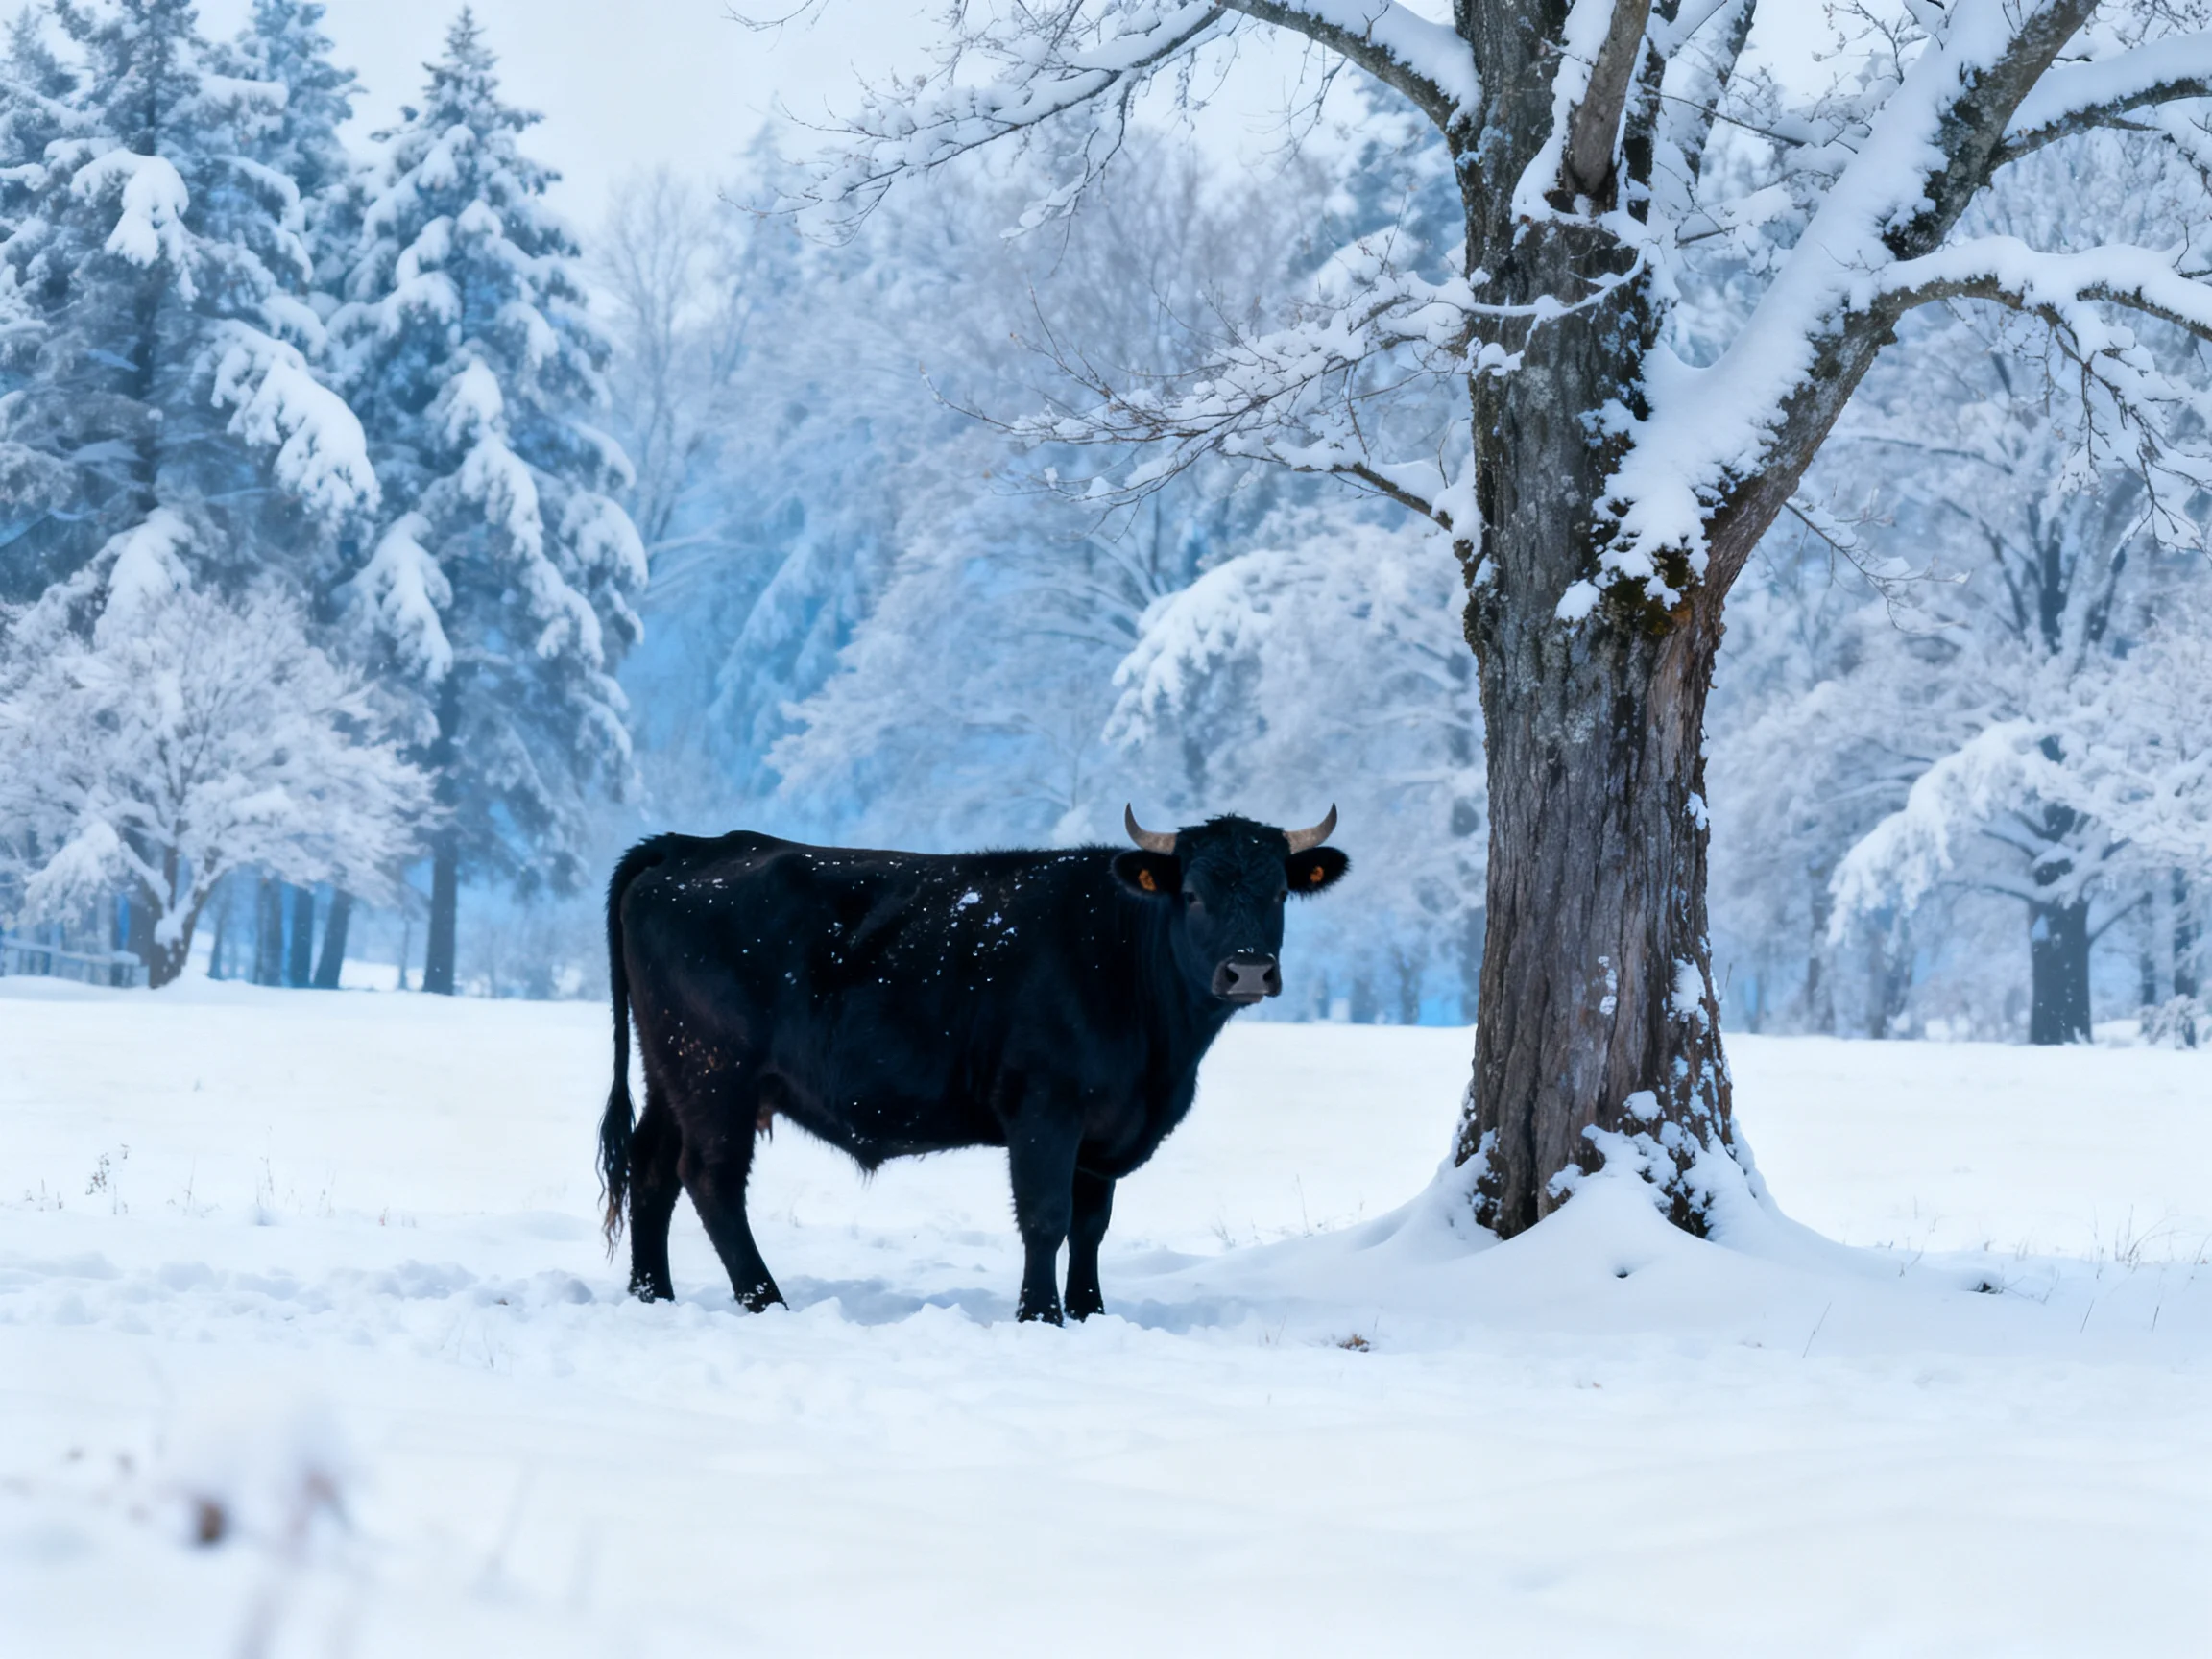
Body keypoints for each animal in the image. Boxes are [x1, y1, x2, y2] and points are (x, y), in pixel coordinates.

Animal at [596, 806, 1348, 1323]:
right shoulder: (1046, 1108)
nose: (1247, 970)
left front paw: (1091, 1311)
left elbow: (1091, 1225)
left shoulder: (1105, 1127)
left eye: (1278, 892)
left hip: (670, 1074)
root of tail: (692, 846)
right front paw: (1040, 1315)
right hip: (715, 1075)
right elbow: (1046, 1217)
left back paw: (653, 1295)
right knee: (710, 1179)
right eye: (1191, 893)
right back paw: (765, 1300)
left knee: (652, 1169)